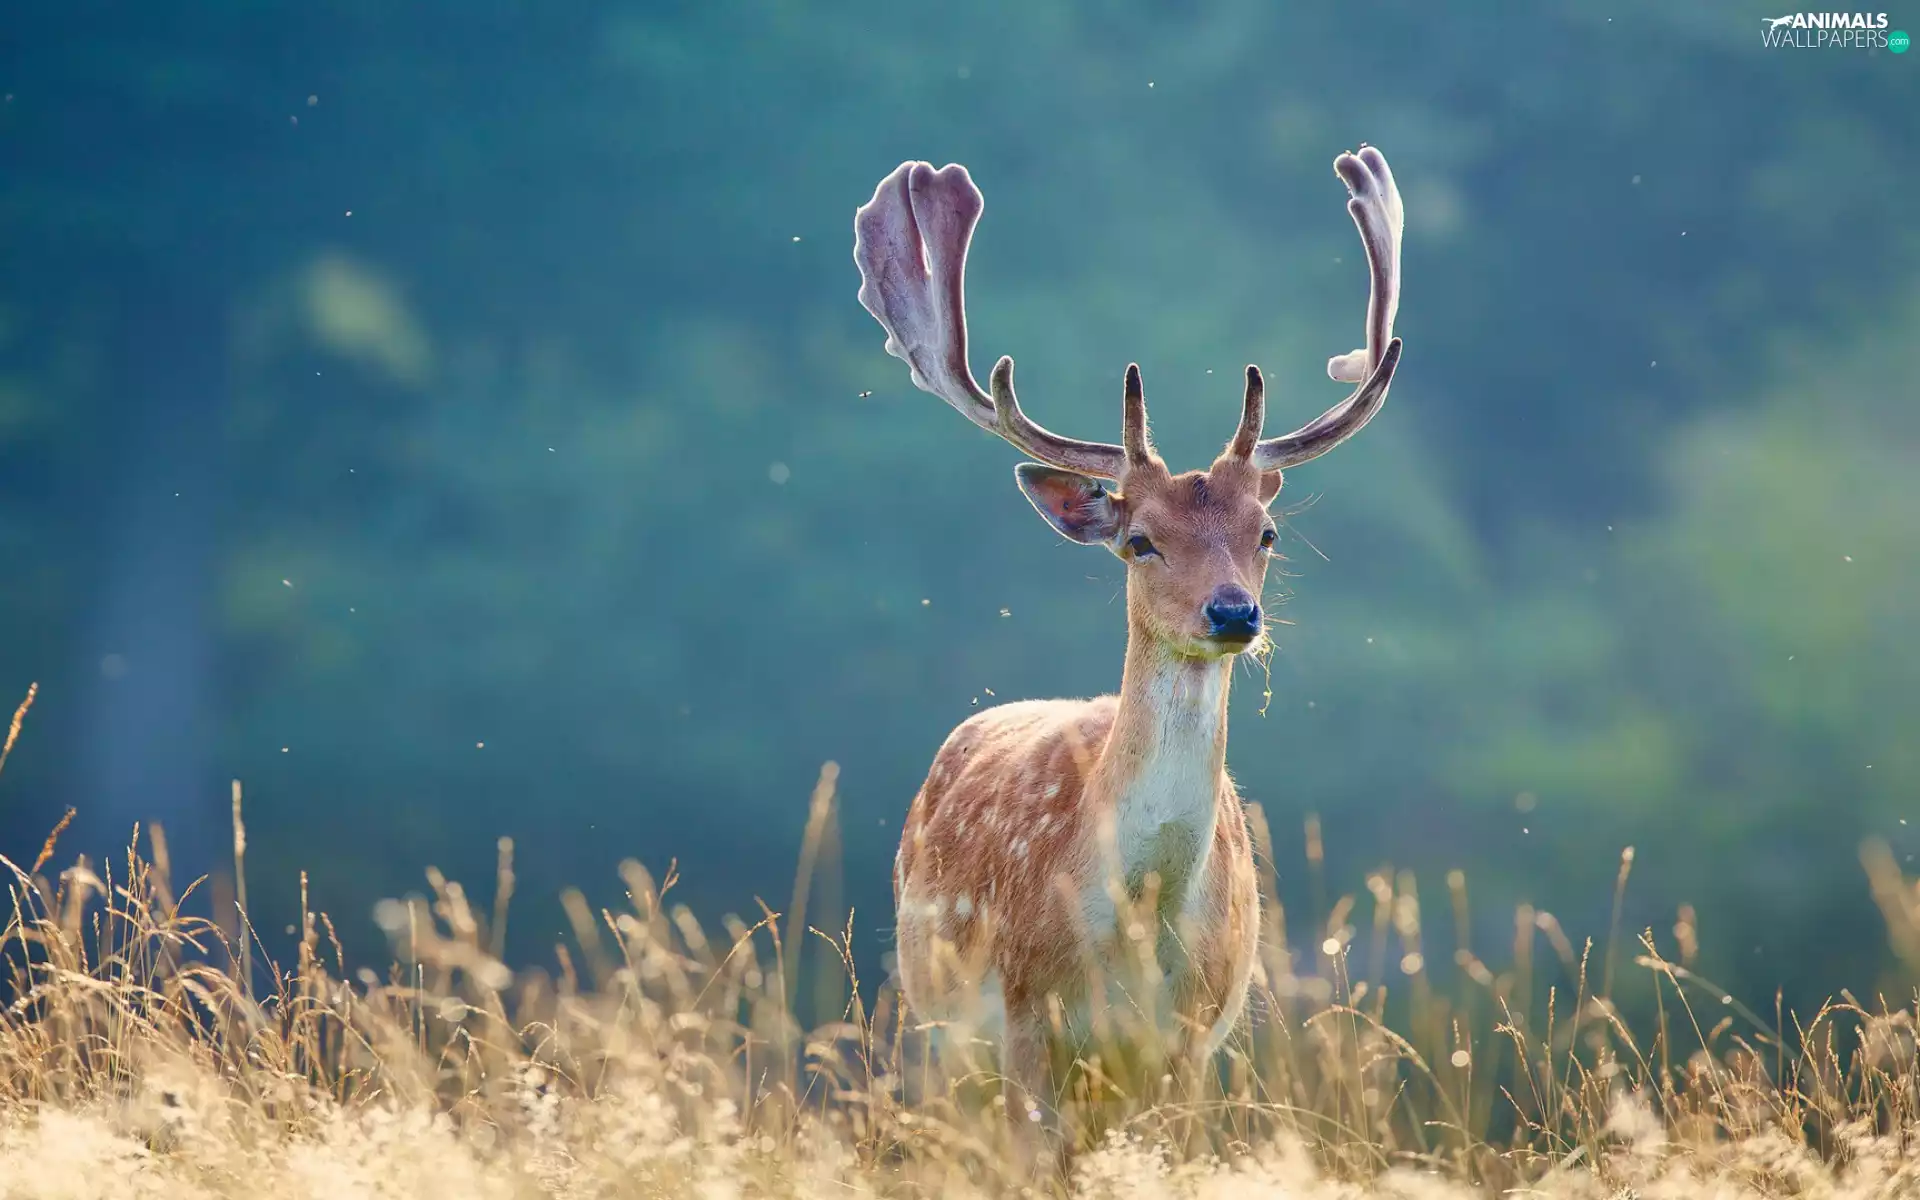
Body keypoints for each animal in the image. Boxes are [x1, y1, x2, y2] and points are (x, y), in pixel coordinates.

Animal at [853, 145, 1404, 1148]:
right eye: (1141, 540)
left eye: (1266, 533)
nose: (1233, 614)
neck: (1135, 932)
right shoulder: (1023, 1019)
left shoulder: (1190, 1039)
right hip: (934, 1024)